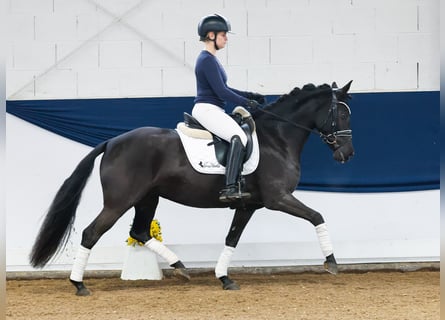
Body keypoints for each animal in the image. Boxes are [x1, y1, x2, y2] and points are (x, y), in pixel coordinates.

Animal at [29, 80, 354, 296]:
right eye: (342, 114)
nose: (347, 154)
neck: (276, 138)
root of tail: (111, 142)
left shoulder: (249, 205)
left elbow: (232, 238)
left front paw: (224, 278)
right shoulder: (279, 198)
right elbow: (317, 216)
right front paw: (332, 262)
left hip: (147, 198)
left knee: (140, 231)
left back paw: (180, 266)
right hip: (119, 201)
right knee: (91, 233)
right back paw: (79, 284)